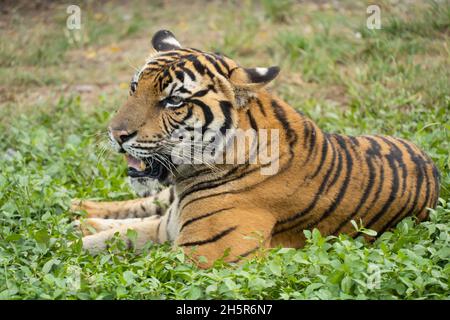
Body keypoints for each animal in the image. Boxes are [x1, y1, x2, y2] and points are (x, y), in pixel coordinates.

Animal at [72, 30, 442, 268]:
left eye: (173, 101)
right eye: (134, 87)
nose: (116, 134)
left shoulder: (205, 256)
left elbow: (128, 246)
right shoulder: (172, 228)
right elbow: (120, 235)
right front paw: (72, 239)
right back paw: (78, 210)